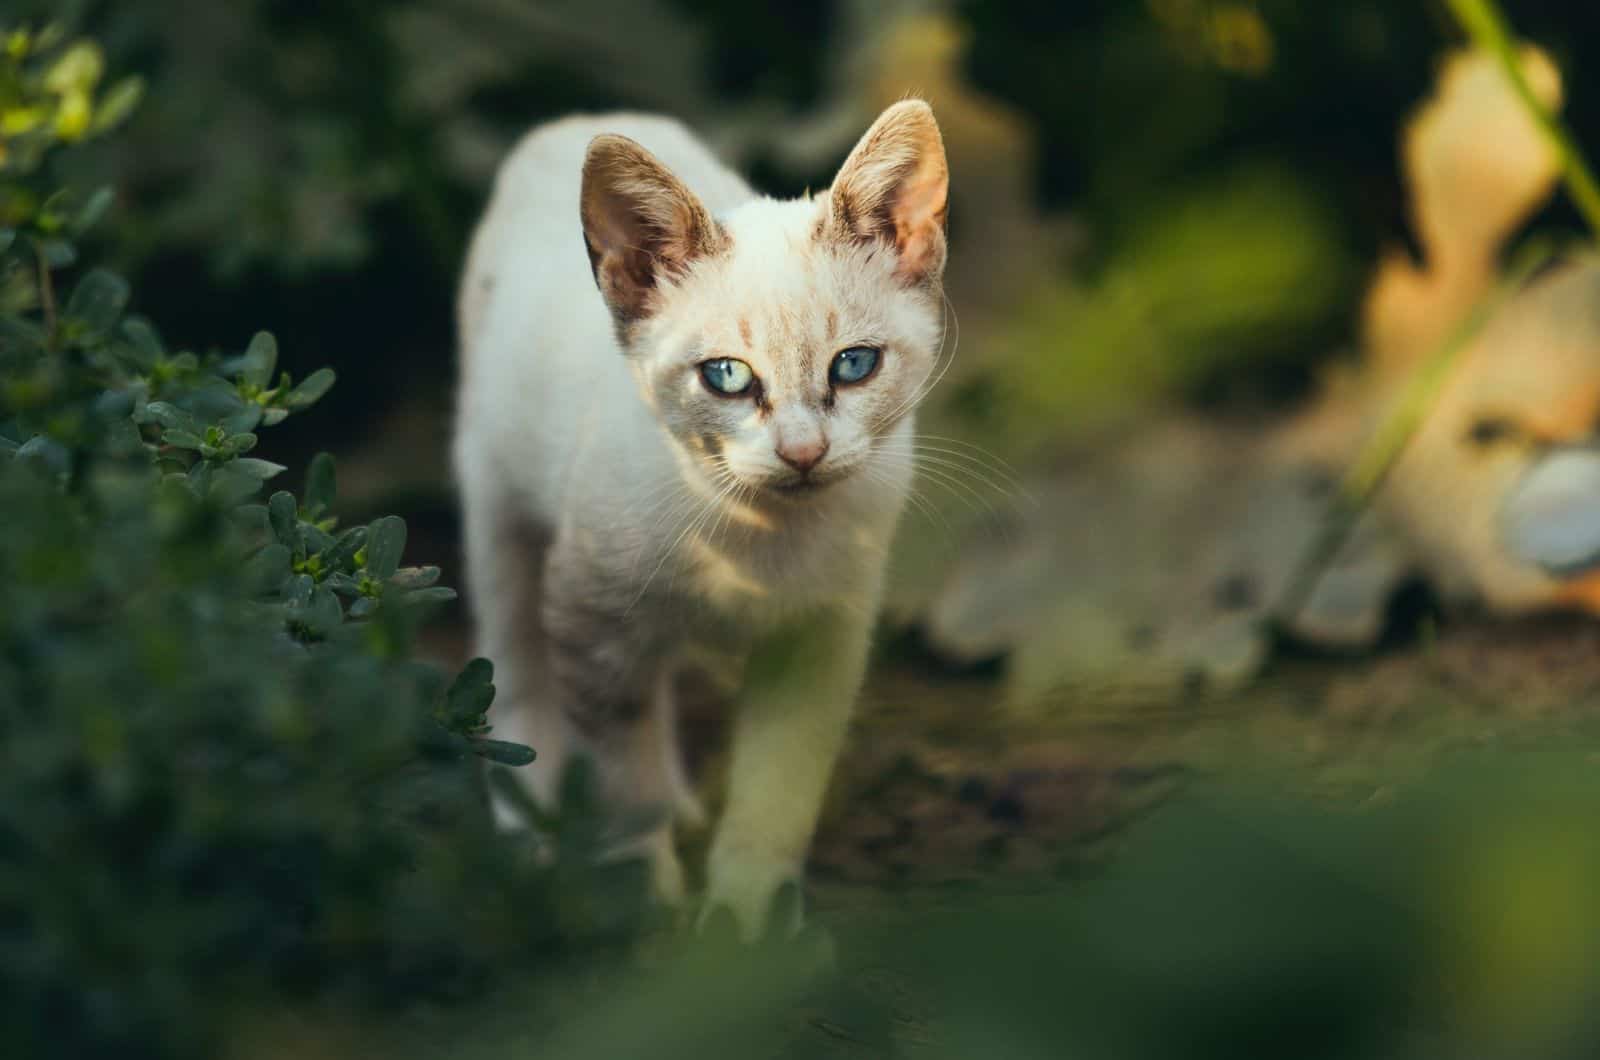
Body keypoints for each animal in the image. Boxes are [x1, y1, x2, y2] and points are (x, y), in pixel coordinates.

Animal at [451, 97, 947, 928]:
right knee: (515, 674)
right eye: (727, 378)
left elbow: (779, 784)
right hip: (498, 505)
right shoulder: (589, 616)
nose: (804, 452)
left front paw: (747, 918)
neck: (761, 538)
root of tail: (576, 119)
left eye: (854, 365)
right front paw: (646, 903)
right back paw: (530, 836)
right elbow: (622, 777)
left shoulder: (823, 634)